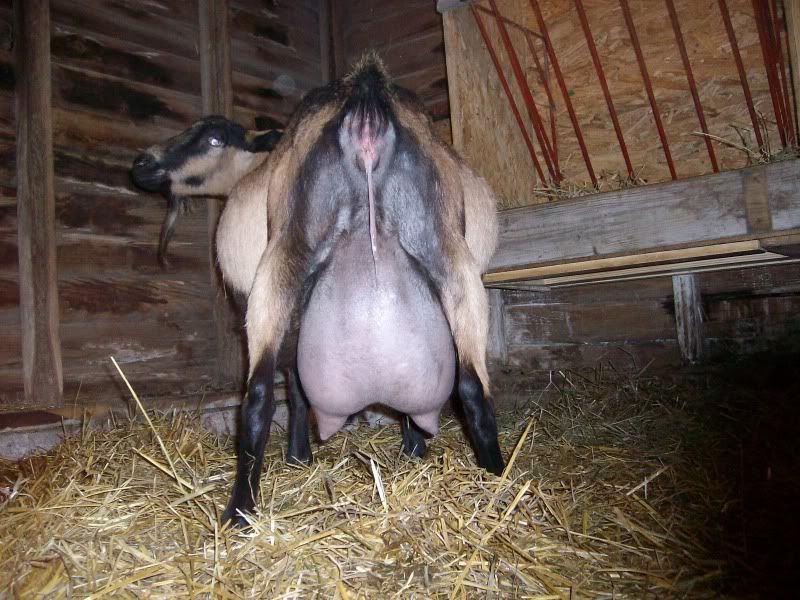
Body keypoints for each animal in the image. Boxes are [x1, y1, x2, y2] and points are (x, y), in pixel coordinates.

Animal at [222, 55, 504, 526]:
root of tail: (366, 100)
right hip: (447, 251)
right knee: (472, 386)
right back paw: (497, 481)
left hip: (286, 252)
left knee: (259, 392)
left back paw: (241, 510)